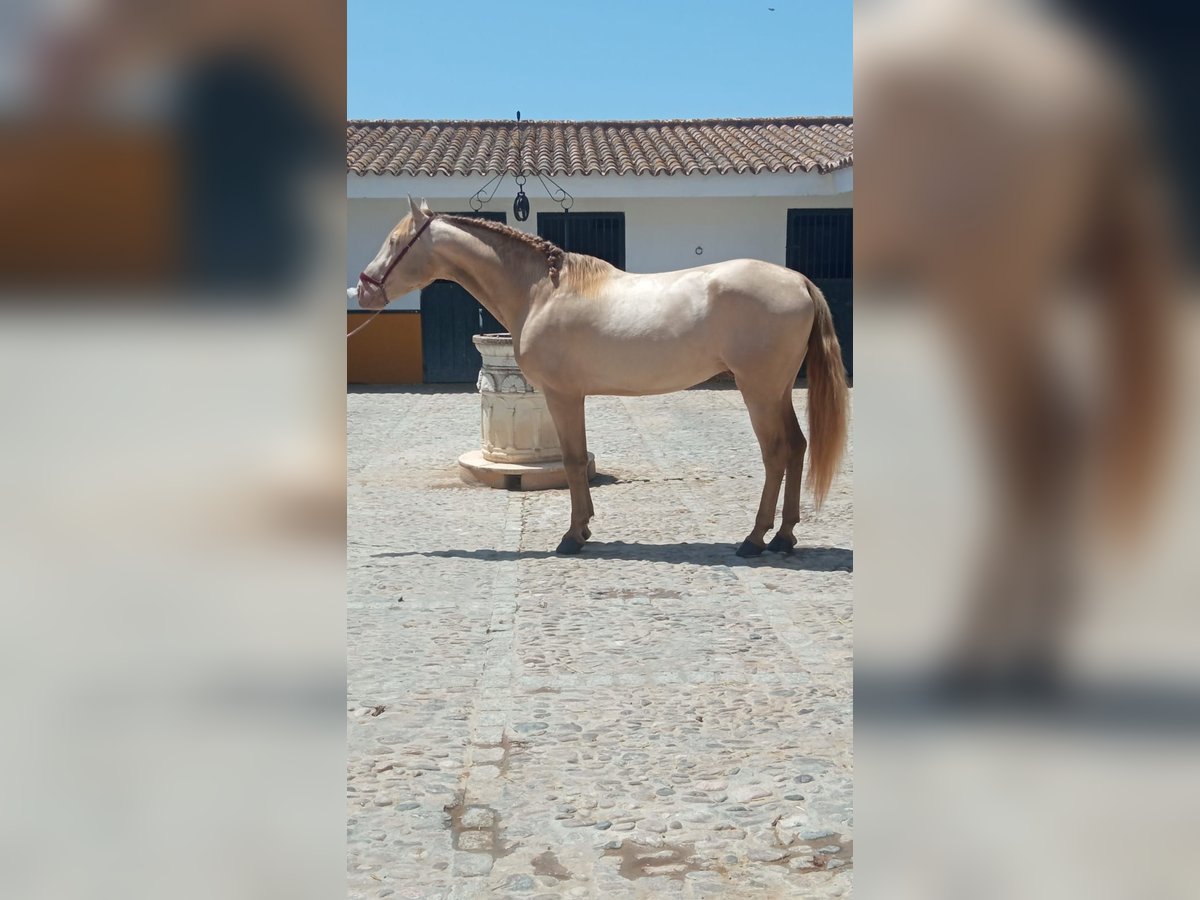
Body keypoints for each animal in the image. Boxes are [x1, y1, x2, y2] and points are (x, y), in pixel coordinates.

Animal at [357, 196, 854, 556]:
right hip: (777, 389)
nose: (364, 290)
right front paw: (583, 529)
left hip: (759, 390)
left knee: (776, 453)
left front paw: (573, 536)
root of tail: (798, 280)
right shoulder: (570, 395)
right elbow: (575, 460)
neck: (540, 292)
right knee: (797, 448)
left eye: (395, 241)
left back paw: (754, 540)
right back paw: (784, 537)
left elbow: (574, 461)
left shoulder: (561, 394)